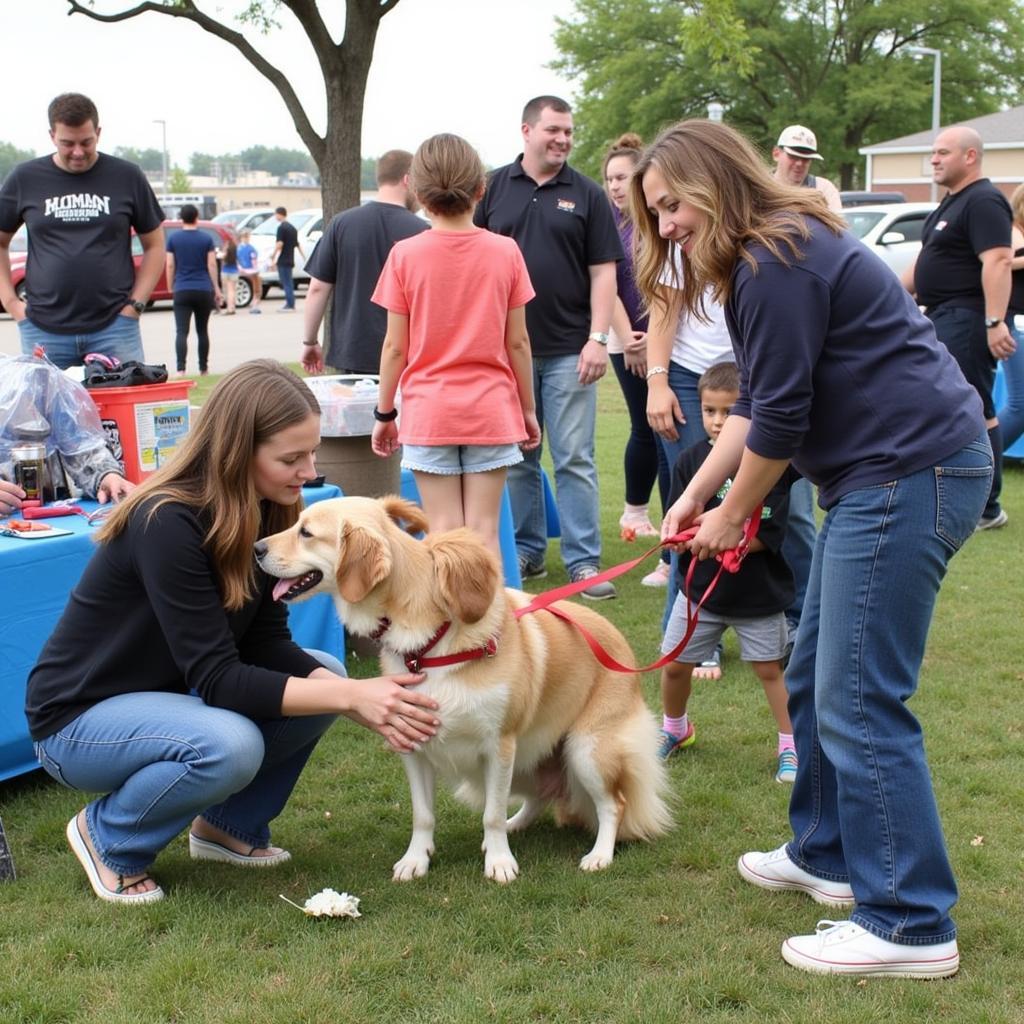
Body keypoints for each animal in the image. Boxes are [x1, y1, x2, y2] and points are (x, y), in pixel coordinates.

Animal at [256, 495, 671, 880]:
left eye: (306, 532)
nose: (256, 548)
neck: (429, 647)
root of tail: (619, 642)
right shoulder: (414, 747)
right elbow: (424, 815)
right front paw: (416, 860)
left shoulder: (499, 746)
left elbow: (491, 813)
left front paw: (499, 862)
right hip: (530, 758)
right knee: (538, 797)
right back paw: (517, 825)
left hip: (584, 751)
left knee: (612, 805)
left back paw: (599, 854)